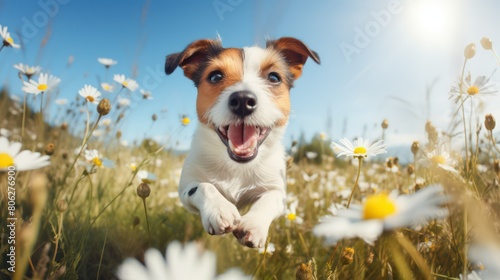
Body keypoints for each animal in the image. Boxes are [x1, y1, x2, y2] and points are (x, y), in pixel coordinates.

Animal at [164, 36, 320, 247]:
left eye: (274, 77)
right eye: (215, 76)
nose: (243, 100)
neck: (237, 166)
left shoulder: (277, 190)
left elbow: (269, 198)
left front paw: (253, 224)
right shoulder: (186, 186)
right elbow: (204, 186)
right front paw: (219, 210)